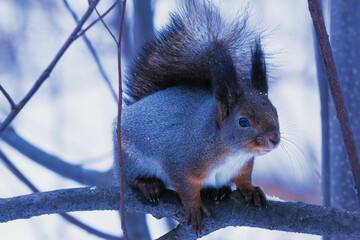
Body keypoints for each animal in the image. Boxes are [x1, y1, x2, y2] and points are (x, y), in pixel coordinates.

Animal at [114, 0, 280, 235]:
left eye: (275, 110)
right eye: (243, 121)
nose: (274, 138)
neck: (231, 151)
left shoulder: (243, 165)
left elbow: (244, 178)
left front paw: (251, 190)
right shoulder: (182, 162)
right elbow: (185, 187)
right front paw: (193, 208)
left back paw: (216, 191)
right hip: (129, 159)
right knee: (131, 179)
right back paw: (148, 184)